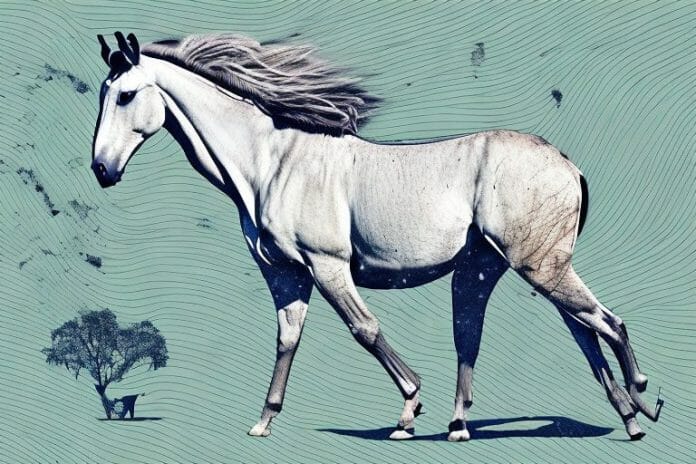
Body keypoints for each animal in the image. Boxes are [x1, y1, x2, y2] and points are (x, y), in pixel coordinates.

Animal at [91, 32, 662, 441]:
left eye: (126, 95)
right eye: (103, 94)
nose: (101, 169)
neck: (271, 163)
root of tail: (567, 163)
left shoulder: (327, 265)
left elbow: (364, 329)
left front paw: (408, 412)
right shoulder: (285, 276)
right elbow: (287, 339)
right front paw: (263, 422)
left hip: (538, 266)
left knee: (606, 323)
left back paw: (641, 398)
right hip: (497, 270)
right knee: (572, 331)